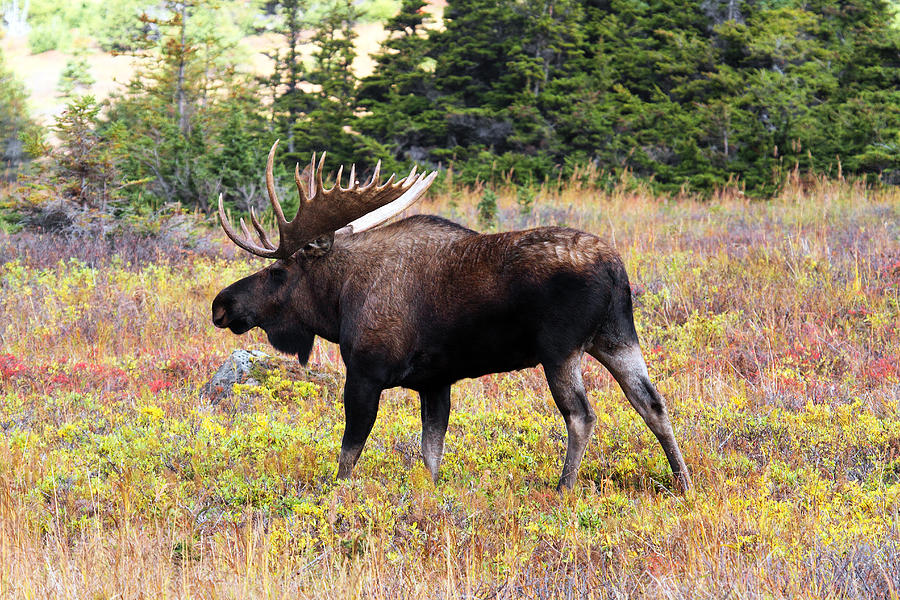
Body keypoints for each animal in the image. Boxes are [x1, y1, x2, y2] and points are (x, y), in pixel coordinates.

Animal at [214, 142, 692, 492]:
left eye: (277, 271)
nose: (222, 304)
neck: (338, 301)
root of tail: (615, 269)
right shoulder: (435, 381)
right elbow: (431, 453)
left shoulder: (366, 372)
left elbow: (349, 454)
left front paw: (336, 495)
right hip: (616, 337)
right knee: (652, 402)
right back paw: (683, 482)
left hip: (560, 349)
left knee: (581, 415)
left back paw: (564, 487)